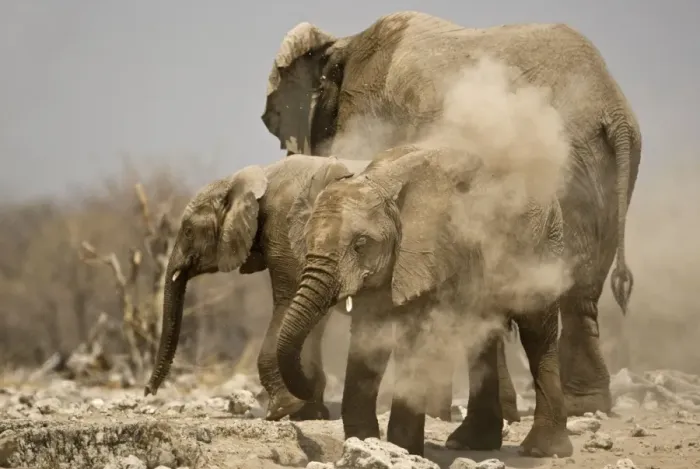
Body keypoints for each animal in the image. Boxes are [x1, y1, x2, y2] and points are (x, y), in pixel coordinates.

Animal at [261, 10, 642, 416]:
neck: (341, 44)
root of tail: (613, 110)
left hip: (571, 164)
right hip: (600, 168)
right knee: (577, 288)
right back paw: (584, 406)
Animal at [275, 144, 574, 458]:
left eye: (360, 244)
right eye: (307, 242)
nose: (309, 388)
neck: (381, 182)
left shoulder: (429, 253)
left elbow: (415, 337)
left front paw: (402, 450)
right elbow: (369, 339)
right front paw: (364, 443)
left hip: (542, 246)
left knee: (538, 332)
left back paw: (543, 450)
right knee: (481, 341)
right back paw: (470, 443)